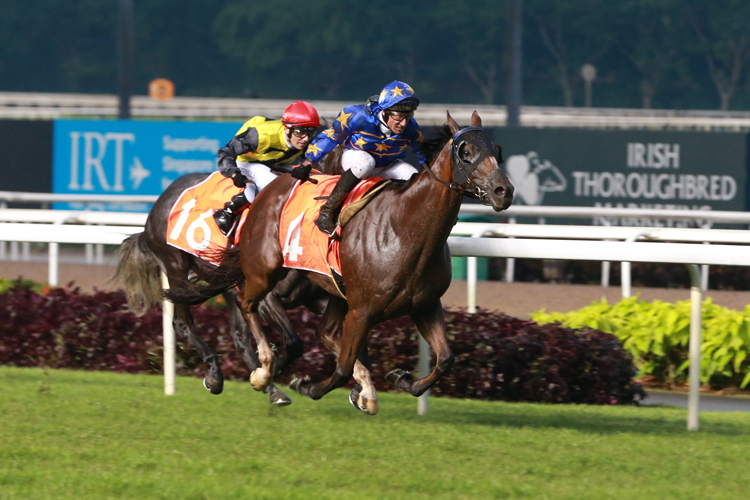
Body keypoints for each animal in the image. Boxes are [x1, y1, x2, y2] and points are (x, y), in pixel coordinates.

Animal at [167, 112, 516, 414]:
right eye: (466, 151)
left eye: (497, 150)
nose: (504, 191)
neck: (405, 227)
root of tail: (270, 189)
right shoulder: (361, 309)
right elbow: (342, 365)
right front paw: (307, 385)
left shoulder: (424, 304)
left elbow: (445, 359)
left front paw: (401, 379)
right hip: (264, 271)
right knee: (247, 303)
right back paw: (264, 370)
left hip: (334, 291)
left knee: (322, 331)